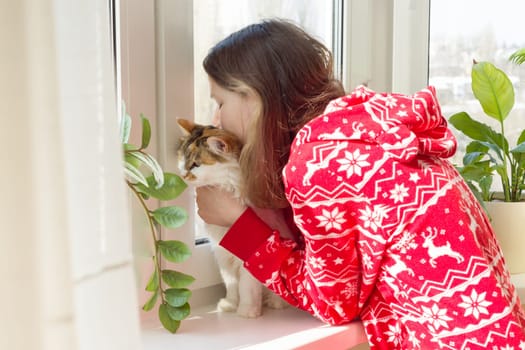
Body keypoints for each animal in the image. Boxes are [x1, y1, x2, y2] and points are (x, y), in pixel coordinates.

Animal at [176, 119, 286, 318]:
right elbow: (231, 284)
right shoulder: (222, 253)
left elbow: (247, 286)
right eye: (183, 159)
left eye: (195, 164)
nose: (183, 174)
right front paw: (230, 304)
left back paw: (275, 303)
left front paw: (247, 311)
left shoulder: (248, 255)